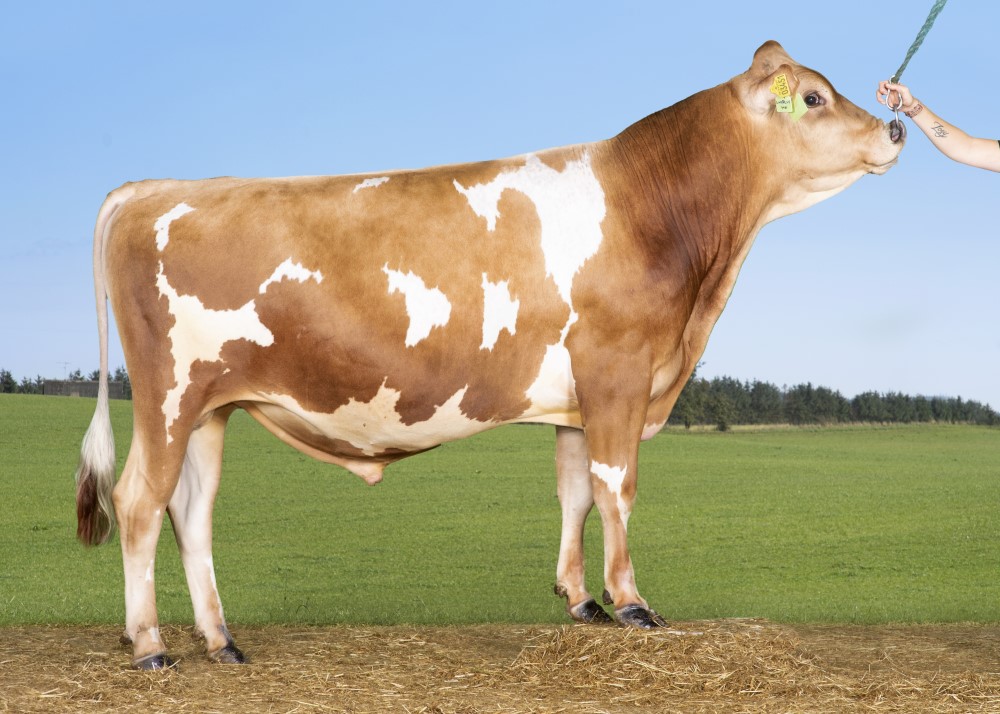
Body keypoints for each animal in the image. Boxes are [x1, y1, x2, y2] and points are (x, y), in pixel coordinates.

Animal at [75, 41, 904, 669]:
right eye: (816, 98)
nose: (896, 129)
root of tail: (148, 189)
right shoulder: (619, 372)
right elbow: (617, 487)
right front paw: (632, 602)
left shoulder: (576, 397)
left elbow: (573, 491)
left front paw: (581, 600)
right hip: (168, 395)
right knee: (139, 502)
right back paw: (150, 646)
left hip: (211, 406)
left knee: (193, 512)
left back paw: (222, 641)